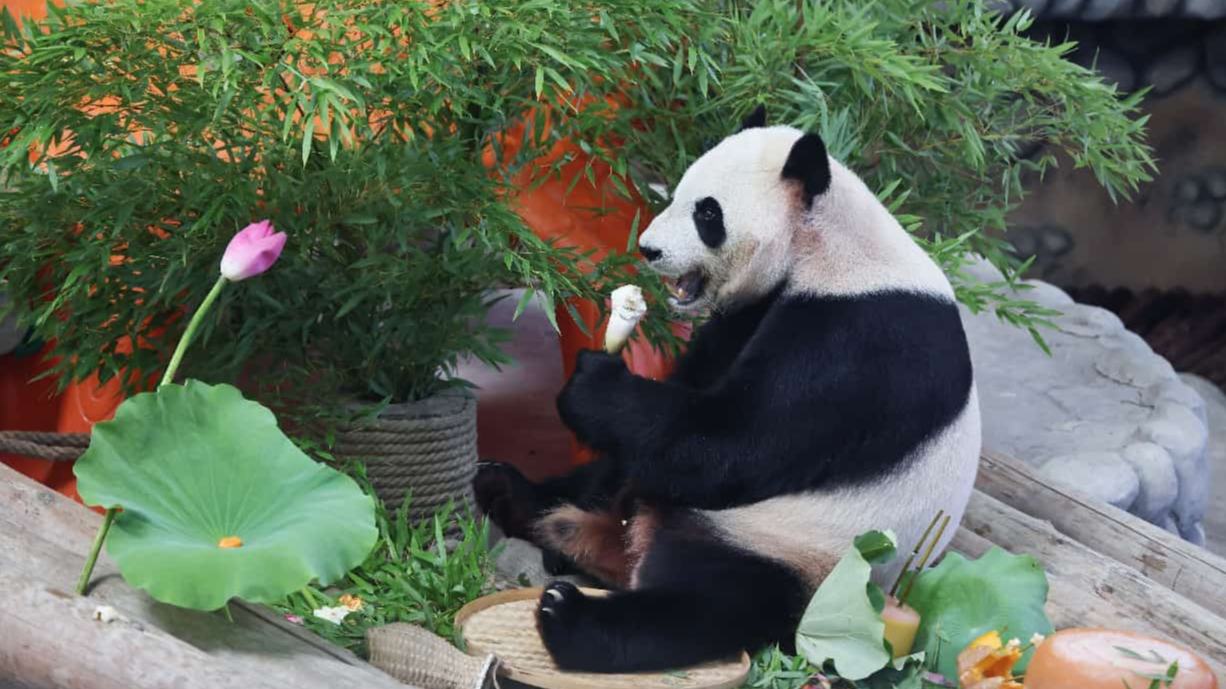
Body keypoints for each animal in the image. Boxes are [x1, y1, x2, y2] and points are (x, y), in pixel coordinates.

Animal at [473, 105, 981, 673]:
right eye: (675, 193)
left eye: (708, 214)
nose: (648, 249)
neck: (826, 246)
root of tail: (624, 542)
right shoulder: (752, 313)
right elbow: (683, 406)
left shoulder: (864, 338)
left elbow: (736, 443)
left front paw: (592, 382)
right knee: (610, 476)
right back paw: (513, 495)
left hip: (799, 551)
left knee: (716, 600)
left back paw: (573, 619)